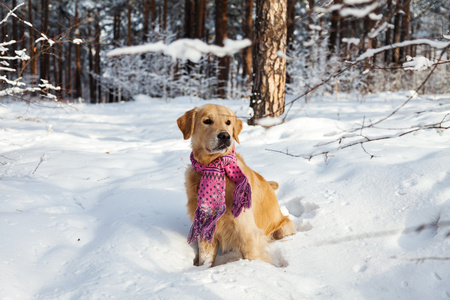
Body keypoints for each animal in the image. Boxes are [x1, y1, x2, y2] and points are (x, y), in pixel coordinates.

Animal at [176, 104, 296, 266]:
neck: (214, 166)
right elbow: (205, 258)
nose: (225, 136)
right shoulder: (206, 229)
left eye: (228, 122)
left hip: (283, 228)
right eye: (207, 121)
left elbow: (253, 255)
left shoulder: (246, 230)